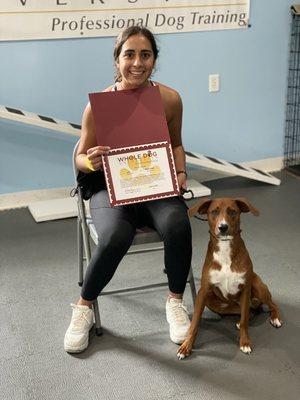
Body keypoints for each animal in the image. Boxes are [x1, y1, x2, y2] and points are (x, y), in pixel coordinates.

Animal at [179, 198, 282, 360]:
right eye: (214, 212)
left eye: (233, 211)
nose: (223, 227)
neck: (225, 248)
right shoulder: (203, 292)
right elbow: (194, 323)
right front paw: (186, 346)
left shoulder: (245, 289)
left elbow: (245, 321)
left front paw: (245, 342)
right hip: (214, 302)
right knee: (250, 311)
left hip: (257, 286)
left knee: (271, 305)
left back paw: (275, 318)